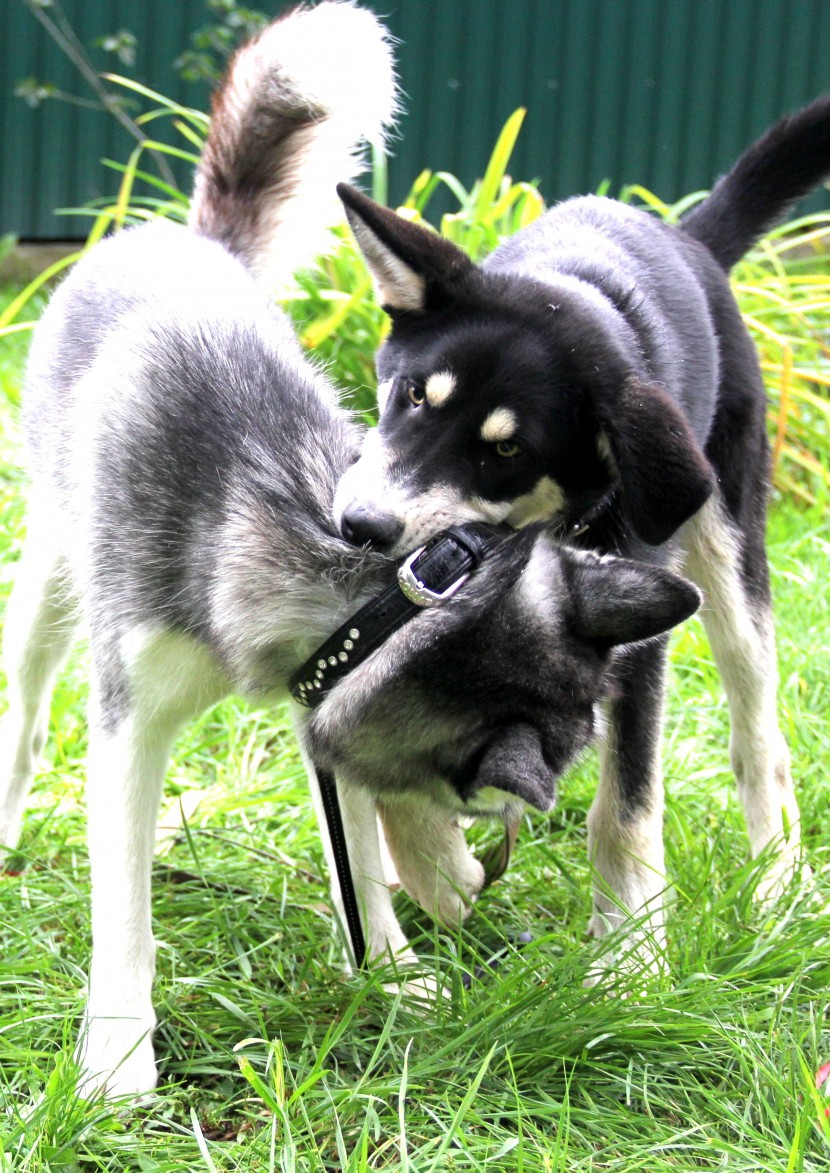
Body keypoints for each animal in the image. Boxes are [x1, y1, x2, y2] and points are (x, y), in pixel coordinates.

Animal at [1, 2, 698, 1097]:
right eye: (474, 791)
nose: (486, 855)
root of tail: (187, 238)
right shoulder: (130, 725)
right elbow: (127, 913)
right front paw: (115, 1054)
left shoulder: (315, 696)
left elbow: (356, 856)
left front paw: (394, 968)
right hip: (53, 581)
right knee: (27, 709)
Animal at [332, 100, 830, 966]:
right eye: (412, 394)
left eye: (505, 452)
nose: (359, 528)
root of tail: (690, 239)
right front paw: (433, 864)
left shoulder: (634, 627)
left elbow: (626, 804)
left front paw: (630, 951)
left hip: (731, 554)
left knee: (758, 734)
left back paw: (775, 880)